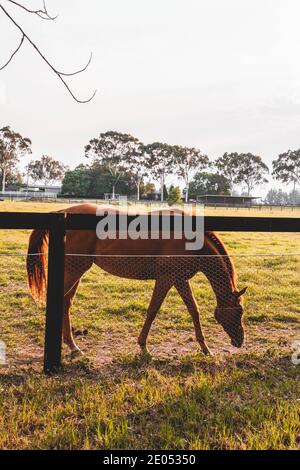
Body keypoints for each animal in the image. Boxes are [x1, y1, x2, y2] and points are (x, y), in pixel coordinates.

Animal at [26, 203, 246, 356]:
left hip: (76, 271)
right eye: (239, 312)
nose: (240, 340)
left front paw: (205, 348)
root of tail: (64, 211)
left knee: (66, 303)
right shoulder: (166, 279)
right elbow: (153, 310)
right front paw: (143, 346)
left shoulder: (180, 280)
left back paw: (72, 346)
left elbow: (194, 311)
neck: (189, 239)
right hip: (75, 270)